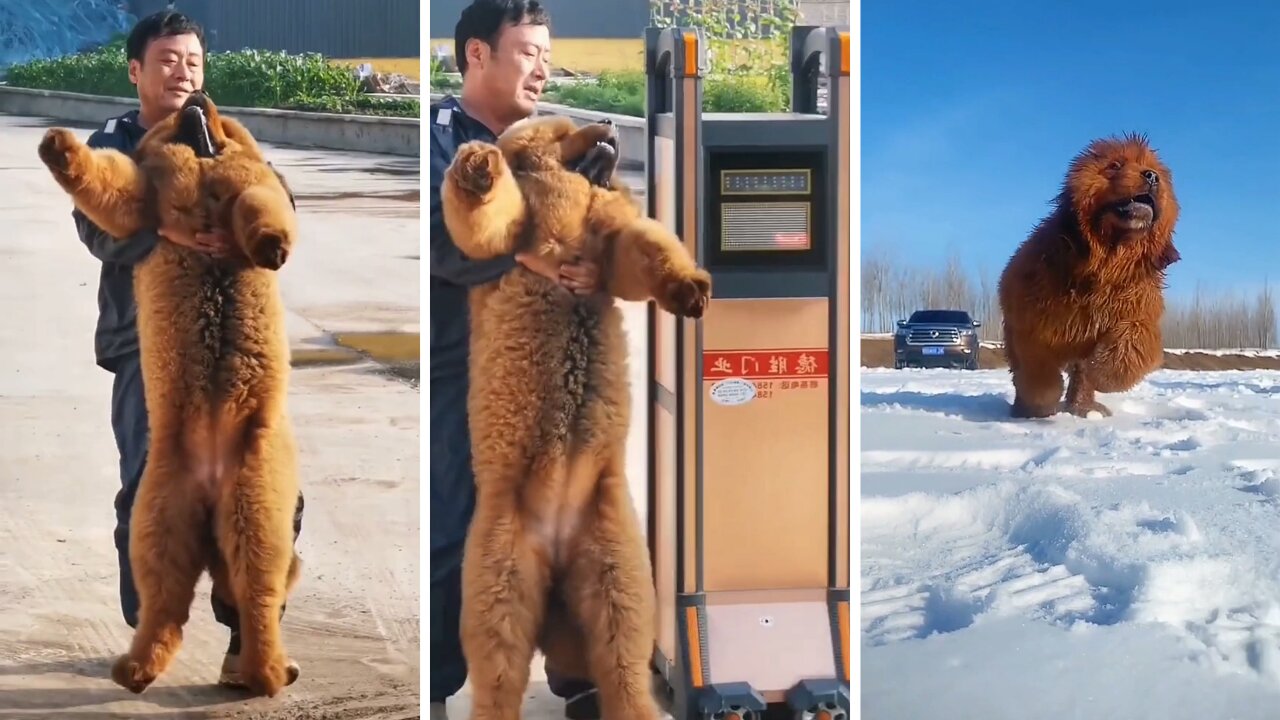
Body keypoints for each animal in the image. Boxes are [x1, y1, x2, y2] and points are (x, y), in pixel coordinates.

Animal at [38, 90, 303, 696]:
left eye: (218, 107)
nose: (197, 95)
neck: (202, 171)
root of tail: (210, 482)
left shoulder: (251, 182)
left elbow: (263, 202)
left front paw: (271, 248)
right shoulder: (148, 199)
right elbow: (112, 186)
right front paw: (58, 145)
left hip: (253, 498)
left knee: (254, 594)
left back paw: (266, 671)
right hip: (162, 511)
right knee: (168, 601)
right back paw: (139, 669)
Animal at [442, 113, 716, 717]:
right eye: (565, 129)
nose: (609, 121)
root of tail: (557, 550)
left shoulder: (610, 240)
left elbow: (643, 248)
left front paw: (692, 290)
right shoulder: (522, 228)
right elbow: (489, 225)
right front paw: (478, 163)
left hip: (617, 562)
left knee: (622, 654)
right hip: (502, 569)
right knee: (498, 664)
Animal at [998, 131, 1177, 417]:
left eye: (1157, 172)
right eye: (1115, 165)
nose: (1151, 176)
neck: (1104, 267)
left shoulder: (1137, 308)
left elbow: (1136, 342)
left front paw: (1103, 374)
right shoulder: (1031, 322)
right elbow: (1037, 368)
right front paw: (1042, 401)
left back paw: (1085, 408)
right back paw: (1024, 408)